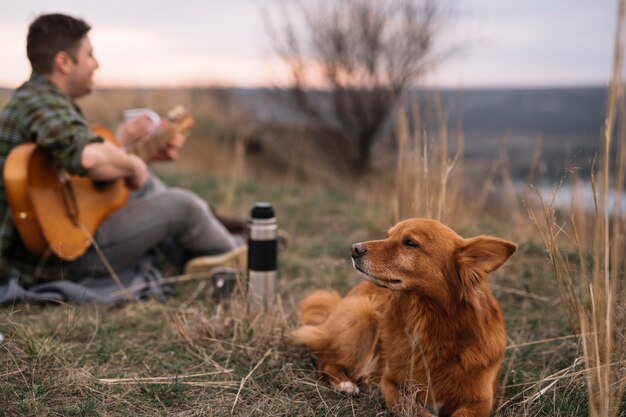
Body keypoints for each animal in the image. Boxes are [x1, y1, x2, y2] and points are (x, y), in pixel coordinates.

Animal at [292, 218, 516, 416]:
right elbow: (413, 409)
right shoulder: (391, 383)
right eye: (388, 235)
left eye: (410, 243)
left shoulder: (480, 400)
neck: (427, 323)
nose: (354, 249)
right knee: (325, 360)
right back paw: (345, 383)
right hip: (364, 316)